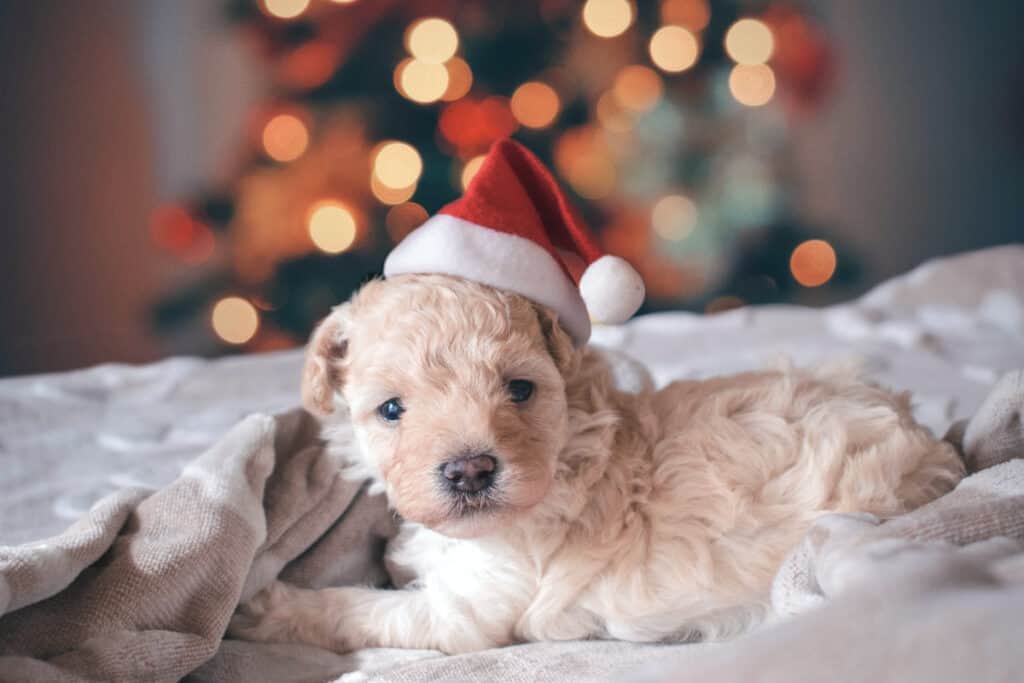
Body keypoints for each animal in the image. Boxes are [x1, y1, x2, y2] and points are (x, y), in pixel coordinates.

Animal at [232, 274, 966, 655]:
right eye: (390, 409)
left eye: (519, 389)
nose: (470, 470)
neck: (566, 450)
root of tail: (935, 448)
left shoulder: (463, 615)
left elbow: (360, 607)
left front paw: (268, 604)